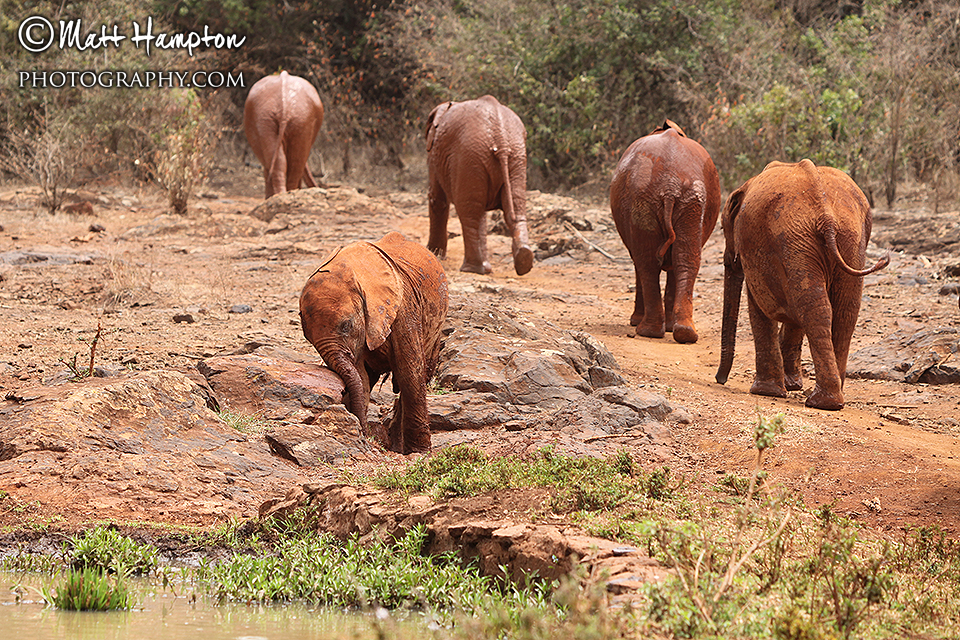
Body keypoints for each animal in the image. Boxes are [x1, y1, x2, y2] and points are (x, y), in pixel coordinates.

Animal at [299, 232, 449, 454]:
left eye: (347, 325)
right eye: (307, 336)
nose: (366, 436)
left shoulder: (403, 309)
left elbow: (410, 373)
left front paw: (419, 453)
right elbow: (361, 378)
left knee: (421, 373)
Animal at [425, 95, 534, 276]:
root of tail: (501, 141)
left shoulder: (434, 155)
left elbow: (437, 199)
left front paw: (432, 254)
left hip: (470, 156)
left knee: (470, 213)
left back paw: (472, 269)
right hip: (514, 157)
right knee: (514, 208)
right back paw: (523, 260)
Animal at [609, 120, 721, 343]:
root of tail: (670, 185)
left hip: (647, 199)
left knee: (648, 262)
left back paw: (648, 331)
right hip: (682, 199)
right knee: (684, 259)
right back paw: (683, 333)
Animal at [715, 159, 890, 410]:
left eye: (722, 229)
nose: (720, 379)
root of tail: (826, 217)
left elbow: (760, 305)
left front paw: (766, 392)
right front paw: (790, 386)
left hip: (796, 237)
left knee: (815, 310)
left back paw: (821, 402)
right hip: (844, 240)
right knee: (841, 311)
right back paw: (830, 399)